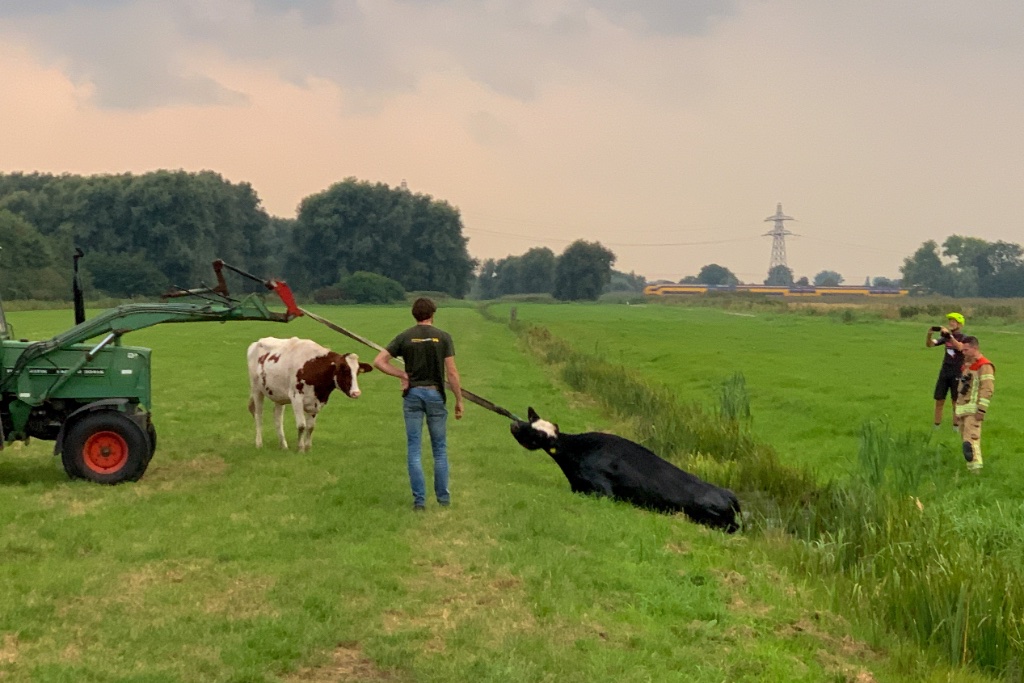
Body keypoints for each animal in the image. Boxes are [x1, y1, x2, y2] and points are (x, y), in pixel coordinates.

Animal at [510, 407, 741, 533]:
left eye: (538, 434)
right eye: (531, 421)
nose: (514, 425)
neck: (578, 451)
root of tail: (727, 493)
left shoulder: (603, 491)